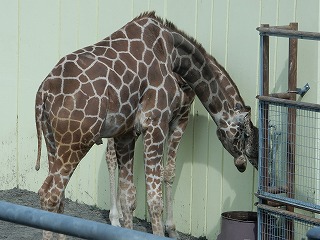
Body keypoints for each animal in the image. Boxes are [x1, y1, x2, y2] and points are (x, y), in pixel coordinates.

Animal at [35, 10, 258, 238]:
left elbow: (129, 197)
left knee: (56, 194)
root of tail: (44, 91)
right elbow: (155, 197)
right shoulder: (159, 123)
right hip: (76, 141)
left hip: (53, 141)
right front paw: (168, 231)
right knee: (50, 194)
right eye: (245, 133)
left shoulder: (125, 134)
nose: (243, 164)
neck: (174, 53)